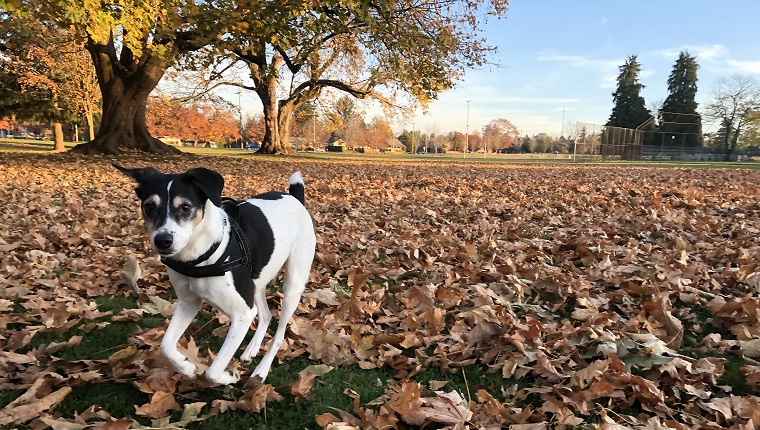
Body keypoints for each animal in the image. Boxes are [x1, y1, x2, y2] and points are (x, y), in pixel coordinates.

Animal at [113, 165, 314, 382]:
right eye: (149, 206)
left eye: (185, 207)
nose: (163, 240)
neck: (199, 256)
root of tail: (295, 199)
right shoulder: (189, 302)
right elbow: (165, 346)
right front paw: (186, 367)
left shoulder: (242, 315)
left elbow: (212, 371)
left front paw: (229, 376)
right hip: (256, 281)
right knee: (266, 315)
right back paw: (251, 349)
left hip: (292, 285)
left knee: (279, 334)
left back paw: (261, 370)